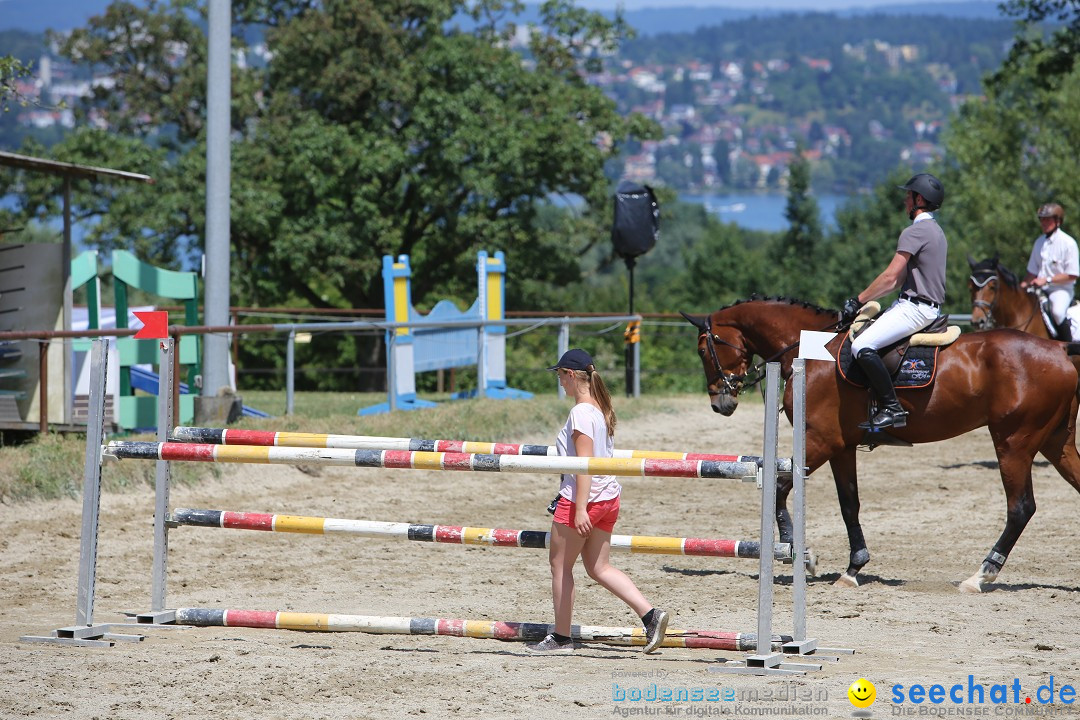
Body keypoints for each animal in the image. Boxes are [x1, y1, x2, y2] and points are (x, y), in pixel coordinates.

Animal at [682, 295, 1080, 595]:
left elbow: (780, 489)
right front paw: (853, 567)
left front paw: (801, 552)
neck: (809, 349)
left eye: (703, 350)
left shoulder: (819, 441)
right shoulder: (841, 447)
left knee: (1020, 508)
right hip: (1055, 442)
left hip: (1013, 442)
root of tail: (1059, 349)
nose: (721, 403)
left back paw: (980, 575)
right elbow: (849, 504)